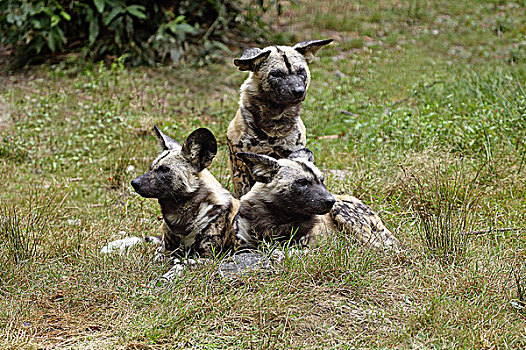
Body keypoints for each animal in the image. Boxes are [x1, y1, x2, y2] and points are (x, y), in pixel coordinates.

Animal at [233, 149, 402, 253]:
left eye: (322, 181)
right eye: (302, 182)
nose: (330, 200)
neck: (276, 218)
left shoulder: (303, 246)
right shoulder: (244, 245)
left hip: (343, 213)